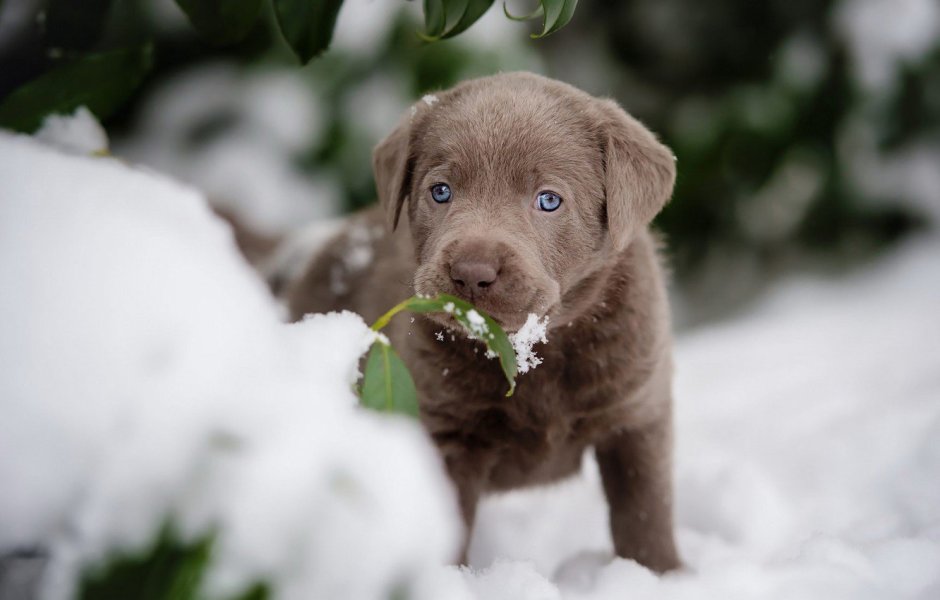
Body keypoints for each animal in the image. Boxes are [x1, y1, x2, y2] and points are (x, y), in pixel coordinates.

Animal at [282, 71, 680, 572]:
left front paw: (661, 574)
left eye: (549, 200)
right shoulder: (442, 427)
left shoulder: (638, 412)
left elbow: (645, 511)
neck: (531, 354)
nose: (472, 272)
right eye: (441, 191)